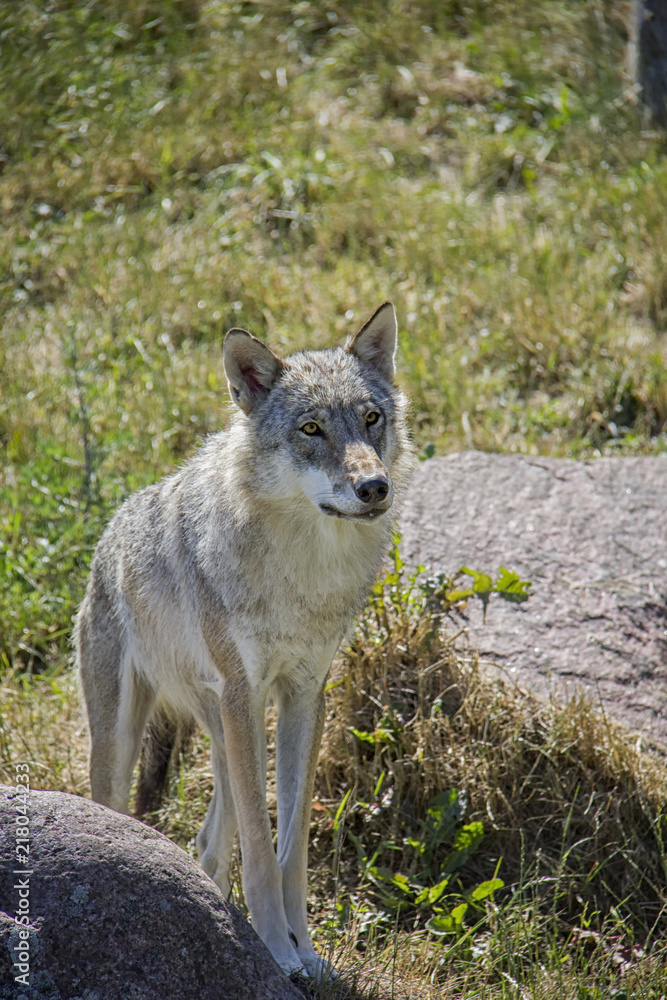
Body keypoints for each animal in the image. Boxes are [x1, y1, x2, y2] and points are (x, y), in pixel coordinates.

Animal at [75, 302, 412, 977]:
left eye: (371, 419)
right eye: (311, 429)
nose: (374, 488)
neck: (304, 574)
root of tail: (108, 534)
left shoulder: (304, 693)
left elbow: (291, 849)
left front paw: (302, 949)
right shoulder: (244, 690)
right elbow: (259, 848)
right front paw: (277, 953)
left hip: (233, 730)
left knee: (210, 837)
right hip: (135, 741)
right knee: (130, 814)